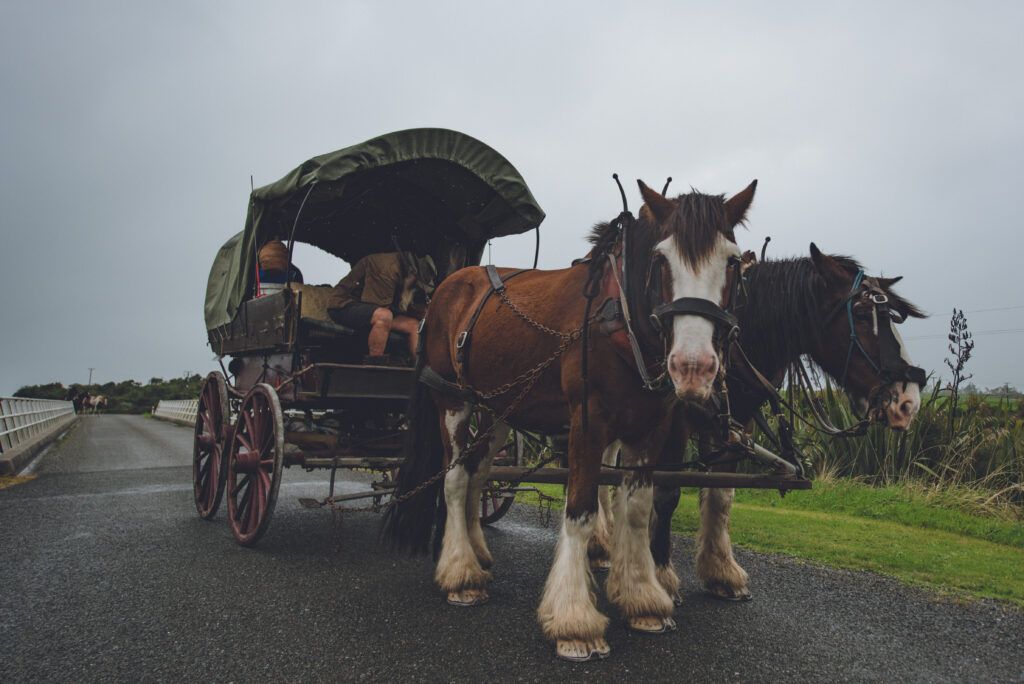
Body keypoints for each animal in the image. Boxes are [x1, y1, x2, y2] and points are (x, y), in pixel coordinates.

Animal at [387, 179, 757, 659]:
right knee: (454, 478)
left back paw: (477, 553)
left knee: (477, 473)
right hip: (451, 398)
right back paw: (460, 573)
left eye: (731, 261)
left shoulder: (650, 428)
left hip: (499, 408)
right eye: (661, 259)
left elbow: (637, 509)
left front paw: (643, 598)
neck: (621, 318)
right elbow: (580, 509)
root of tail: (446, 288)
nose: (693, 367)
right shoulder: (587, 423)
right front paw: (574, 620)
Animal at [593, 244, 929, 602]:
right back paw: (600, 544)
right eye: (863, 315)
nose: (908, 401)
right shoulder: (674, 421)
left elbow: (721, 495)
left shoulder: (735, 424)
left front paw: (721, 571)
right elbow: (667, 492)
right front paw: (661, 575)